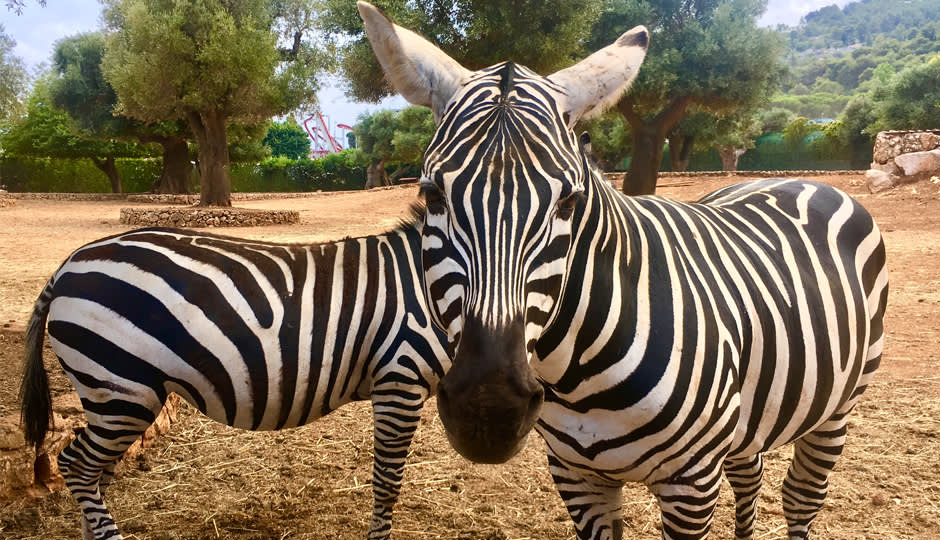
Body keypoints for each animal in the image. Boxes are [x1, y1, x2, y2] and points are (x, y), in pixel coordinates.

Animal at [20, 216, 448, 540]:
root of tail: (67, 266)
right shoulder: (400, 379)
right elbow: (387, 483)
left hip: (114, 395)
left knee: (94, 473)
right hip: (122, 388)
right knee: (76, 465)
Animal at [358, 2, 888, 536]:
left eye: (569, 203)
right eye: (432, 196)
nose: (488, 411)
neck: (576, 378)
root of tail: (797, 180)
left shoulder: (691, 483)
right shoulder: (575, 475)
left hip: (840, 403)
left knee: (802, 496)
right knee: (751, 472)